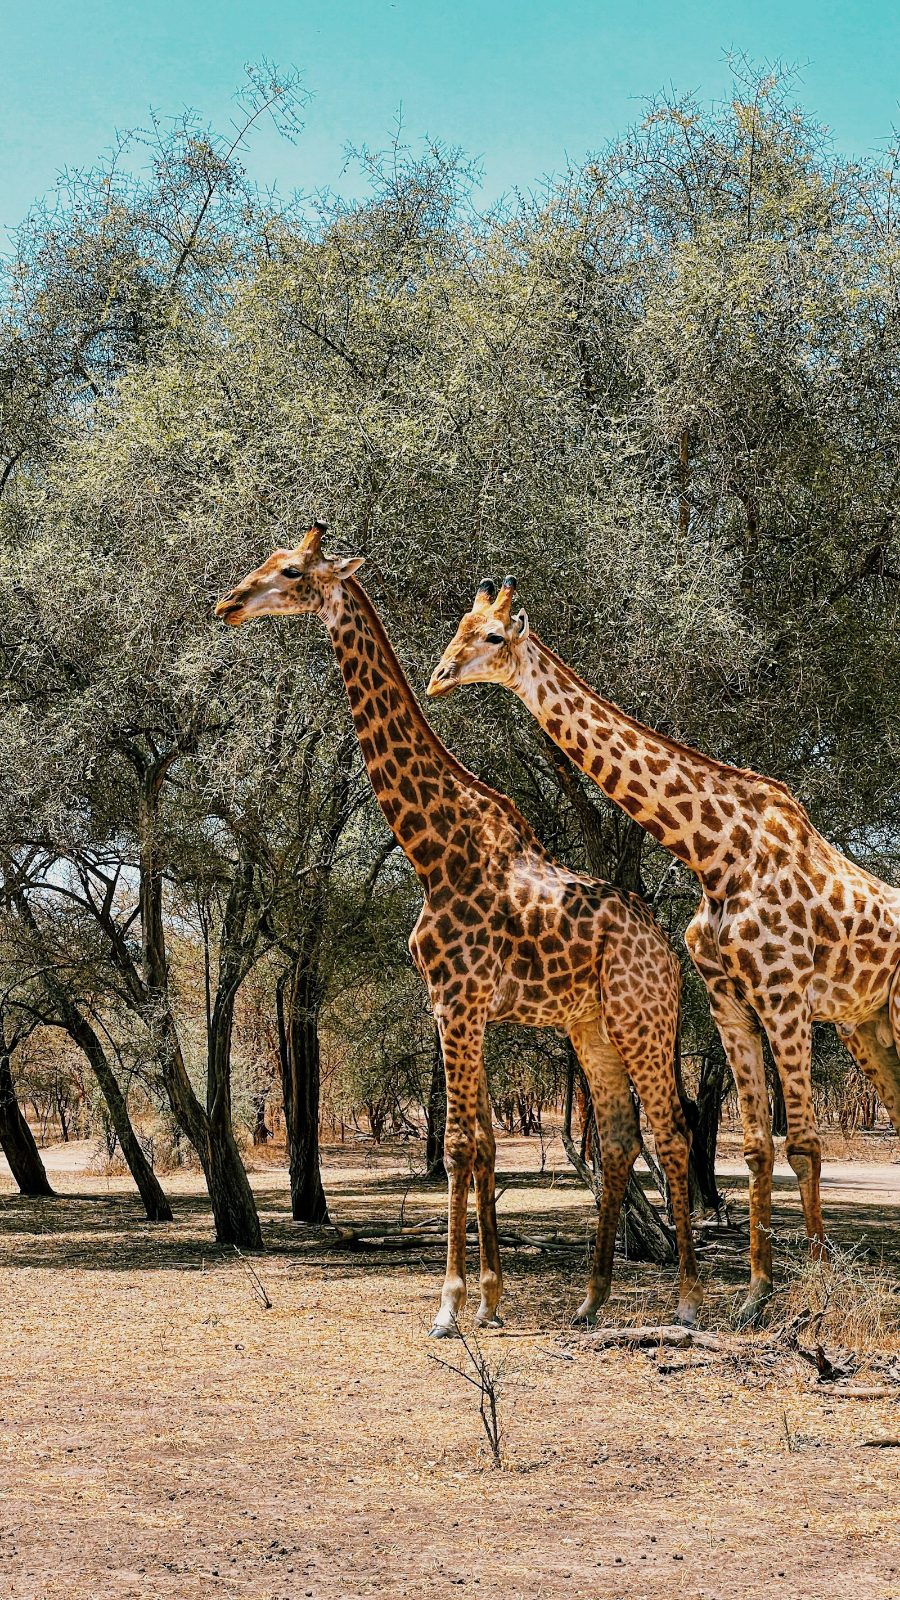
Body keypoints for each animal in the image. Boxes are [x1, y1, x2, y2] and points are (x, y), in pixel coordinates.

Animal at [216, 527, 702, 1335]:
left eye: (290, 570)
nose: (228, 604)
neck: (433, 849)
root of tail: (669, 952)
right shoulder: (454, 1008)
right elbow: (482, 1144)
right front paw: (491, 1296)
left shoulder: (459, 1002)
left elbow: (461, 1143)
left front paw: (450, 1304)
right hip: (591, 1026)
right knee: (619, 1139)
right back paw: (590, 1300)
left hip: (644, 1018)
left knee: (671, 1134)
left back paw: (691, 1301)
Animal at [428, 576, 900, 1324]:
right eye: (458, 627)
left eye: (494, 637)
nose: (439, 677)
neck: (717, 854)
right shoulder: (730, 998)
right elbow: (758, 1148)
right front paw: (754, 1299)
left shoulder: (785, 993)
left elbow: (802, 1141)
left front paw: (819, 1297)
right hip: (867, 1027)